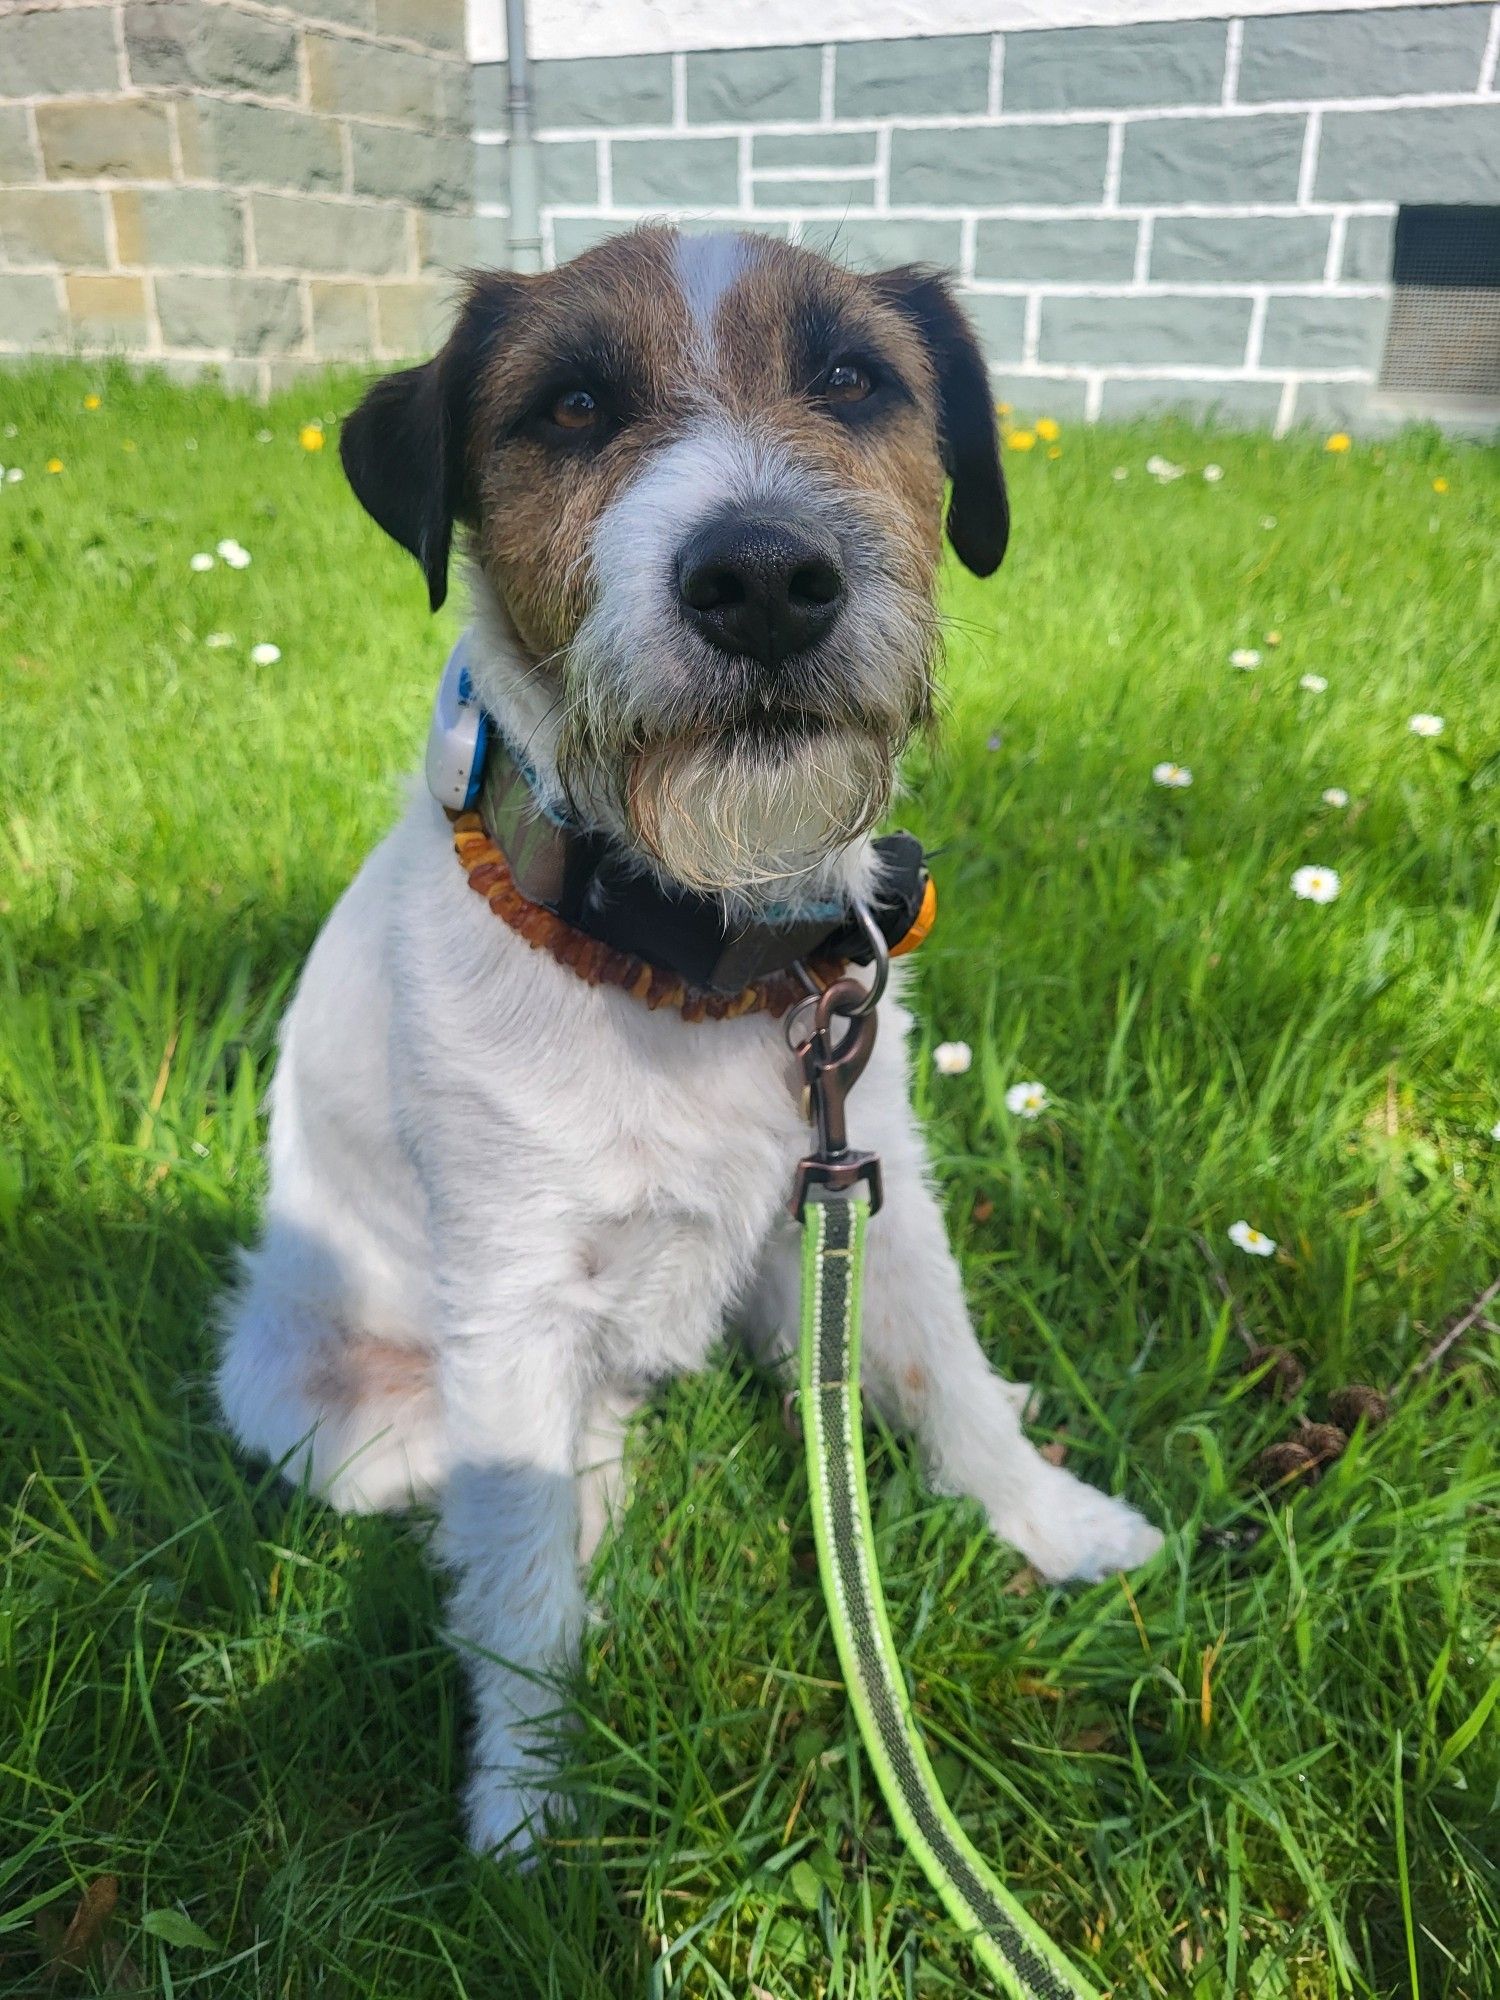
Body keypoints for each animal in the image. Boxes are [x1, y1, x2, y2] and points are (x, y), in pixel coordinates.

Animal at [217, 227, 1168, 1848]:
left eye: (852, 378)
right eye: (572, 406)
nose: (767, 580)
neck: (690, 960)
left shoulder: (868, 1192)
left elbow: (949, 1378)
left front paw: (1056, 1523)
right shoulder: (513, 1298)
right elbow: (520, 1589)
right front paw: (527, 1816)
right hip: (329, 1410)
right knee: (513, 1479)